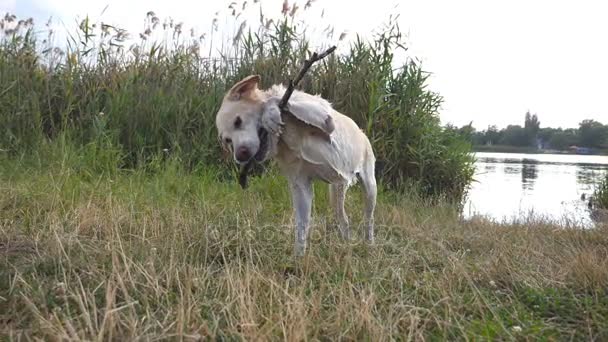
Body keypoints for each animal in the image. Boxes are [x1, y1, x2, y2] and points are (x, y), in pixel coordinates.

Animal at [214, 75, 376, 256]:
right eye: (227, 140)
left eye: (237, 121)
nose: (240, 155)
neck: (285, 136)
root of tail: (363, 133)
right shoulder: (301, 186)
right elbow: (301, 228)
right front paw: (298, 257)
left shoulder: (327, 121)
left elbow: (274, 100)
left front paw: (270, 113)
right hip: (336, 191)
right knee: (344, 220)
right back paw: (347, 244)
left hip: (370, 187)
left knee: (368, 219)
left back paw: (369, 244)